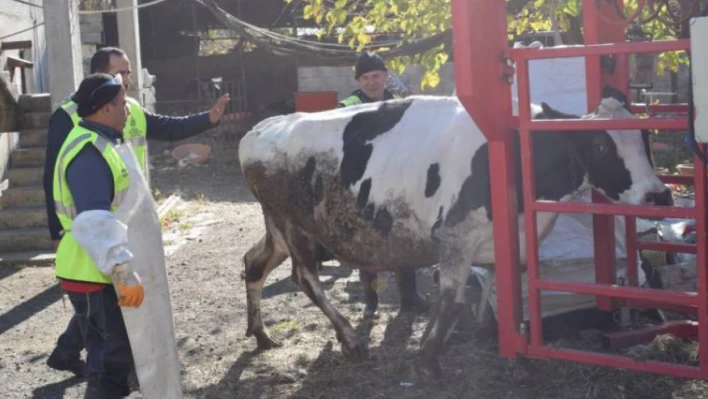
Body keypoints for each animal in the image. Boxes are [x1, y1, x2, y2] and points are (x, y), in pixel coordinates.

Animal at [236, 90, 668, 382]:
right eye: (599, 144)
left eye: (646, 137)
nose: (658, 194)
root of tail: (260, 128)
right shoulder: (456, 236)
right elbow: (451, 301)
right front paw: (428, 361)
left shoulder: (509, 243)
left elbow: (510, 296)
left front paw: (507, 348)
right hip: (293, 227)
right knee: (306, 279)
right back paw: (351, 340)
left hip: (278, 230)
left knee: (253, 265)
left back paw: (261, 334)